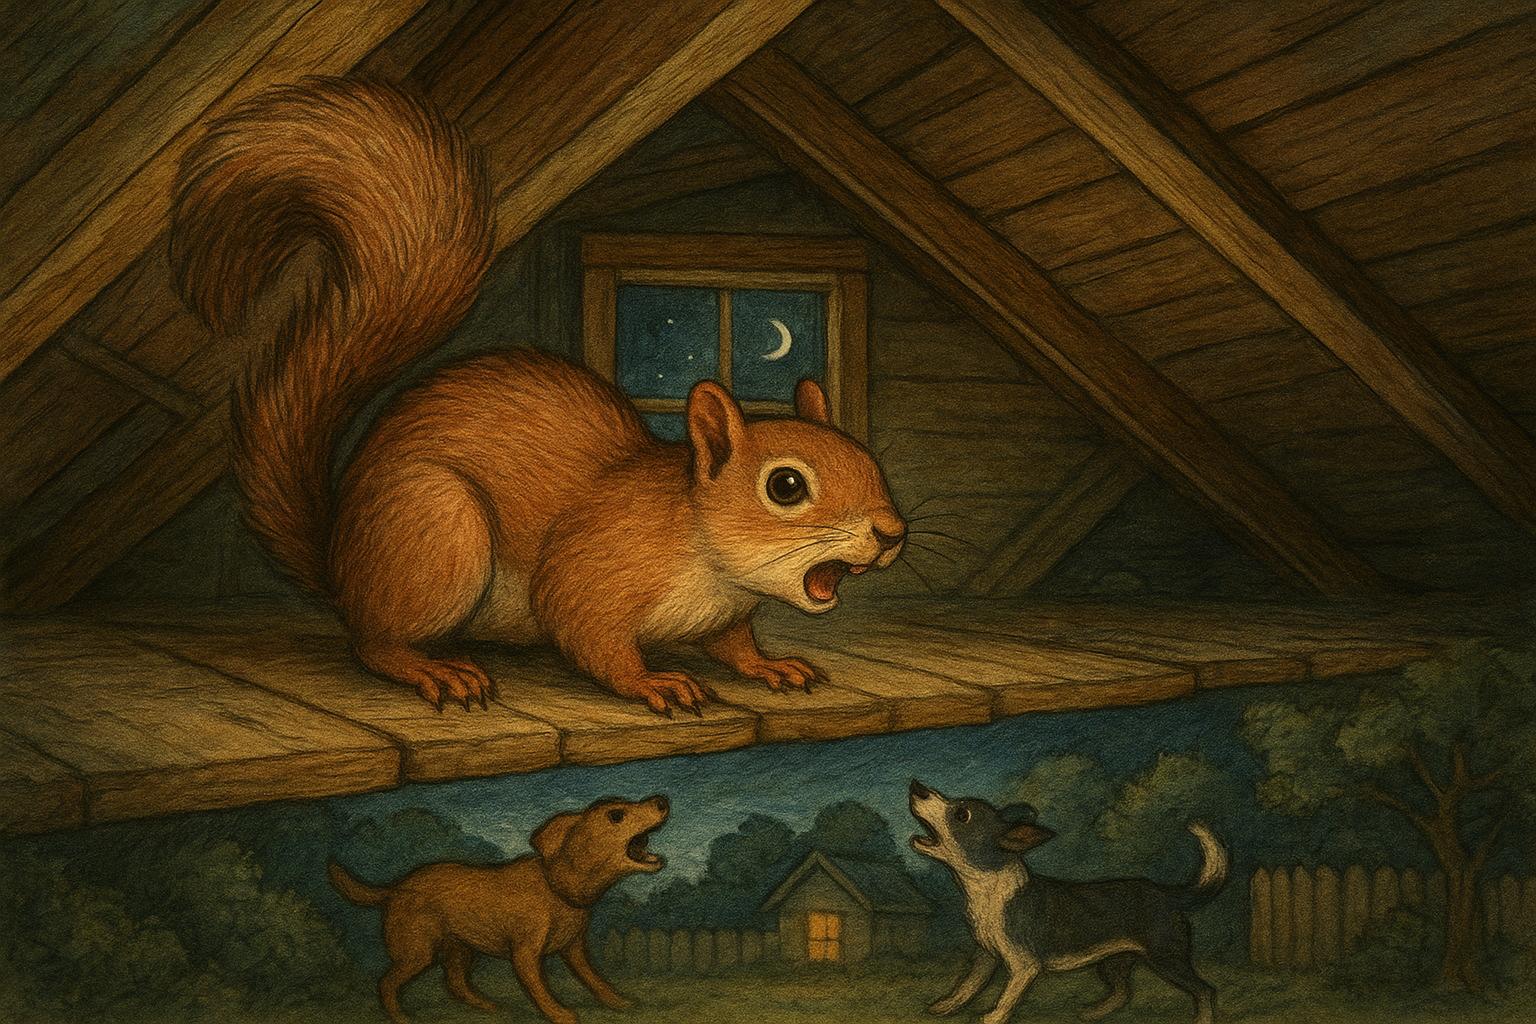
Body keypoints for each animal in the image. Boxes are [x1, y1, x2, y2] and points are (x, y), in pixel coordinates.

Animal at [169, 77, 906, 716]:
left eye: (869, 460)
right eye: (785, 486)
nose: (893, 534)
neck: (703, 548)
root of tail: (339, 562)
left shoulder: (726, 614)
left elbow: (732, 644)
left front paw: (769, 665)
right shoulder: (592, 571)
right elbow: (589, 634)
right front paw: (653, 682)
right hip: (434, 533)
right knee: (373, 641)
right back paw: (433, 668)